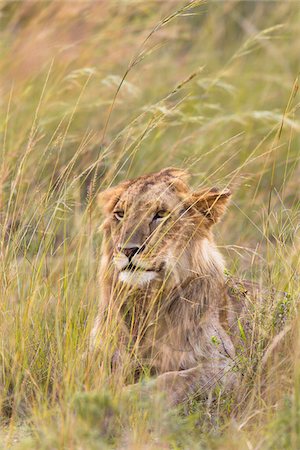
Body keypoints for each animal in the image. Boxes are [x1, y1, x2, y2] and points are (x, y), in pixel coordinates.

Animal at [91, 168, 253, 404]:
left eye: (160, 214)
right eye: (120, 214)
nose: (127, 249)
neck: (145, 302)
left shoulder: (228, 366)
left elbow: (172, 380)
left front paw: (120, 397)